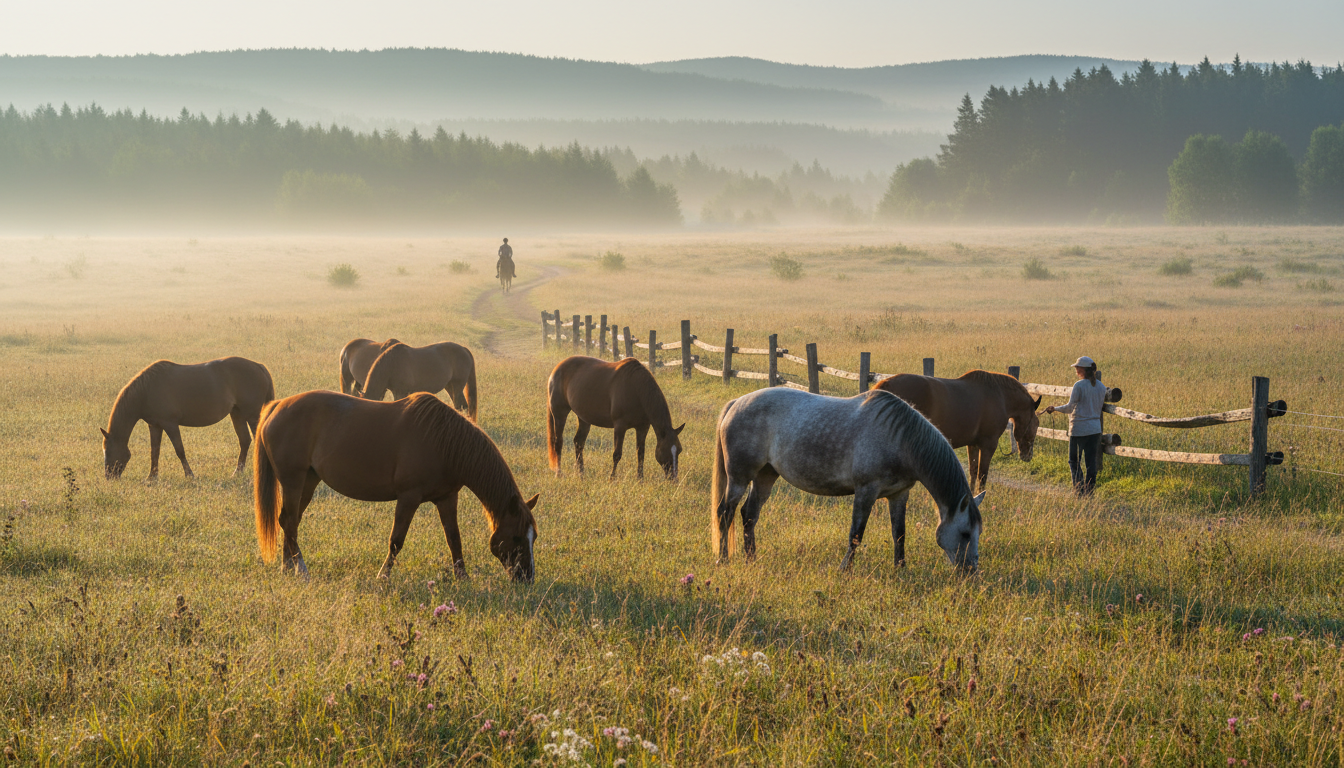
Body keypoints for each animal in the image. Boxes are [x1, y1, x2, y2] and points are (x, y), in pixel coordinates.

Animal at [101, 357, 274, 480]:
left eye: (108, 451)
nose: (109, 477)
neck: (146, 391)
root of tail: (259, 366)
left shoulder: (170, 424)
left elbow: (180, 450)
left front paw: (190, 475)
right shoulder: (155, 425)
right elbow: (154, 451)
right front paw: (152, 477)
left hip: (252, 415)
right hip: (237, 414)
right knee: (244, 441)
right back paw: (237, 473)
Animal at [253, 391, 538, 581]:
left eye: (533, 537)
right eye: (516, 537)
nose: (526, 578)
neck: (445, 441)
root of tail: (276, 406)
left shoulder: (447, 498)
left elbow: (454, 539)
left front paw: (463, 578)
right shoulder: (408, 498)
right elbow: (396, 540)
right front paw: (383, 576)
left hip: (308, 482)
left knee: (289, 521)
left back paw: (287, 568)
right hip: (292, 481)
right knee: (289, 521)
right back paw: (301, 570)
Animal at [546, 356, 685, 480]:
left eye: (679, 450)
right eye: (666, 450)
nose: (674, 478)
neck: (637, 389)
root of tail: (556, 369)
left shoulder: (642, 427)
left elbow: (641, 453)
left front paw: (640, 479)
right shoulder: (620, 427)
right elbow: (617, 454)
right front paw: (612, 478)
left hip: (584, 418)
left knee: (578, 442)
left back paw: (581, 473)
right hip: (559, 414)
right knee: (558, 442)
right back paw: (559, 473)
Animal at [711, 387, 983, 571]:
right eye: (965, 533)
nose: (971, 572)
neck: (900, 439)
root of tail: (736, 403)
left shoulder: (899, 494)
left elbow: (899, 533)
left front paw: (900, 568)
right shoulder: (866, 491)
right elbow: (856, 534)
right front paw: (846, 569)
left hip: (766, 475)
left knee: (749, 514)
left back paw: (751, 559)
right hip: (739, 477)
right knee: (725, 512)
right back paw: (723, 560)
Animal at [874, 370, 1042, 493]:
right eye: (1036, 424)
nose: (1028, 456)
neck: (1000, 396)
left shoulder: (973, 445)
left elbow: (973, 472)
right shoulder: (988, 445)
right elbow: (982, 475)